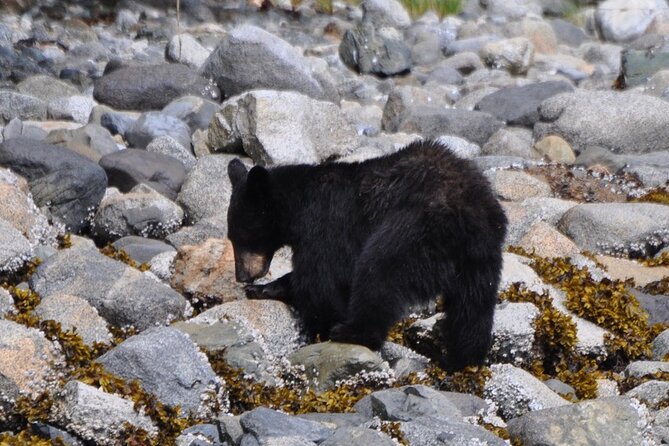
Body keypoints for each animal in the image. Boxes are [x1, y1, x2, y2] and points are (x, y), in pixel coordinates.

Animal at [226, 139, 506, 370]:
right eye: (231, 238)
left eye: (242, 237)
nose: (241, 276)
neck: (297, 207)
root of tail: (466, 213)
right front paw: (262, 288)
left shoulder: (325, 226)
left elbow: (320, 282)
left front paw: (317, 324)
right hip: (481, 256)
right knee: (472, 307)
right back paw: (463, 357)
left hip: (413, 231)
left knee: (378, 271)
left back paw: (352, 332)